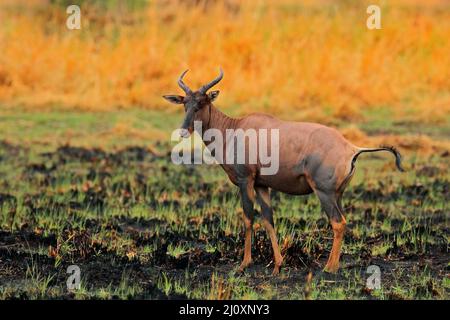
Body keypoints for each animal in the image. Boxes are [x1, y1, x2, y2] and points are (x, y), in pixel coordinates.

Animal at [163, 69, 404, 274]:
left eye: (202, 102)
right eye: (184, 103)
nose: (183, 132)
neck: (235, 128)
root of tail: (351, 148)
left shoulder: (245, 180)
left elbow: (248, 218)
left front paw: (243, 264)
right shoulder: (262, 184)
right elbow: (268, 220)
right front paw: (278, 265)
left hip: (324, 193)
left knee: (338, 222)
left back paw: (328, 268)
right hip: (338, 194)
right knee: (343, 221)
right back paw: (333, 265)